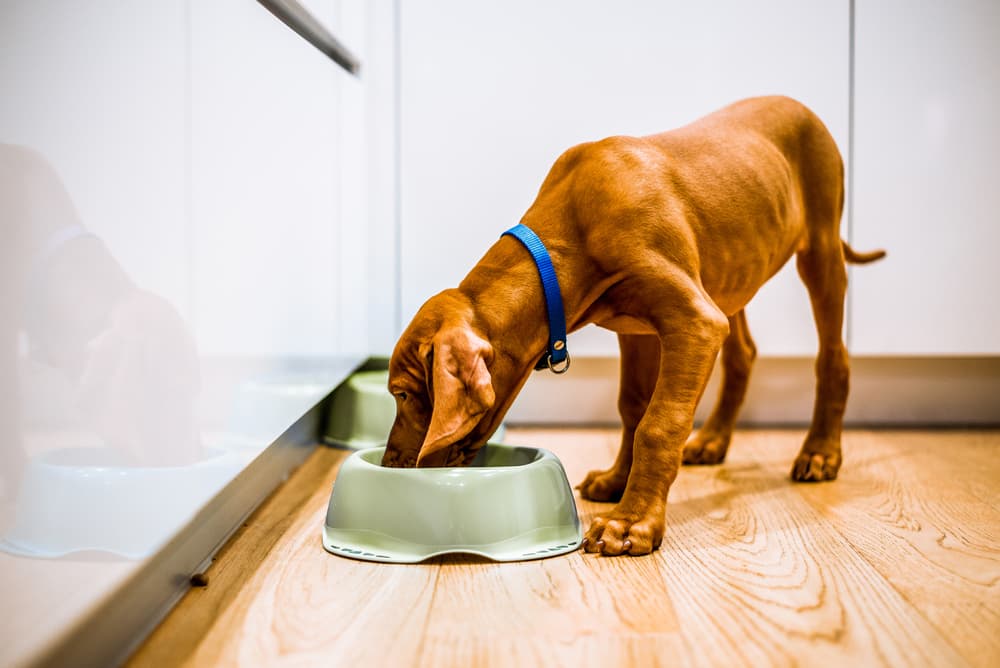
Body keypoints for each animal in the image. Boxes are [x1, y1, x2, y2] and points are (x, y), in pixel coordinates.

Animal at [376, 94, 884, 556]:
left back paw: (820, 453)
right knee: (744, 355)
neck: (564, 236)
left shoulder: (695, 323)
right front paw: (618, 481)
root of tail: (798, 104)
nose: (389, 463)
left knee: (833, 356)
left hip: (819, 250)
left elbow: (658, 424)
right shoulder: (636, 330)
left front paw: (632, 523)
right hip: (729, 277)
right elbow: (632, 408)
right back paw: (713, 441)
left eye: (404, 395)